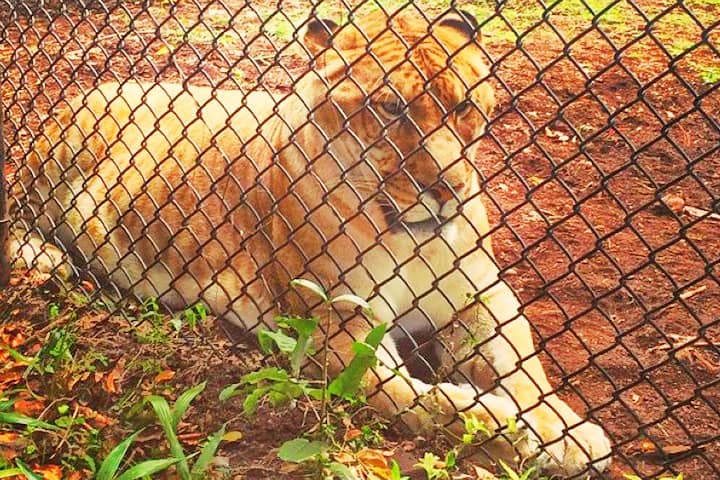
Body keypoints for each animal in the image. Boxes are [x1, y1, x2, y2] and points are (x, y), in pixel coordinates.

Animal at [8, 7, 612, 476]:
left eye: (463, 105)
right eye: (391, 107)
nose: (449, 189)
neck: (406, 238)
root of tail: (114, 80)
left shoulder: (480, 295)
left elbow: (523, 366)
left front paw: (566, 430)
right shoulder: (337, 333)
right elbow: (431, 402)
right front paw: (507, 428)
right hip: (58, 152)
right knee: (15, 215)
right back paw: (47, 256)